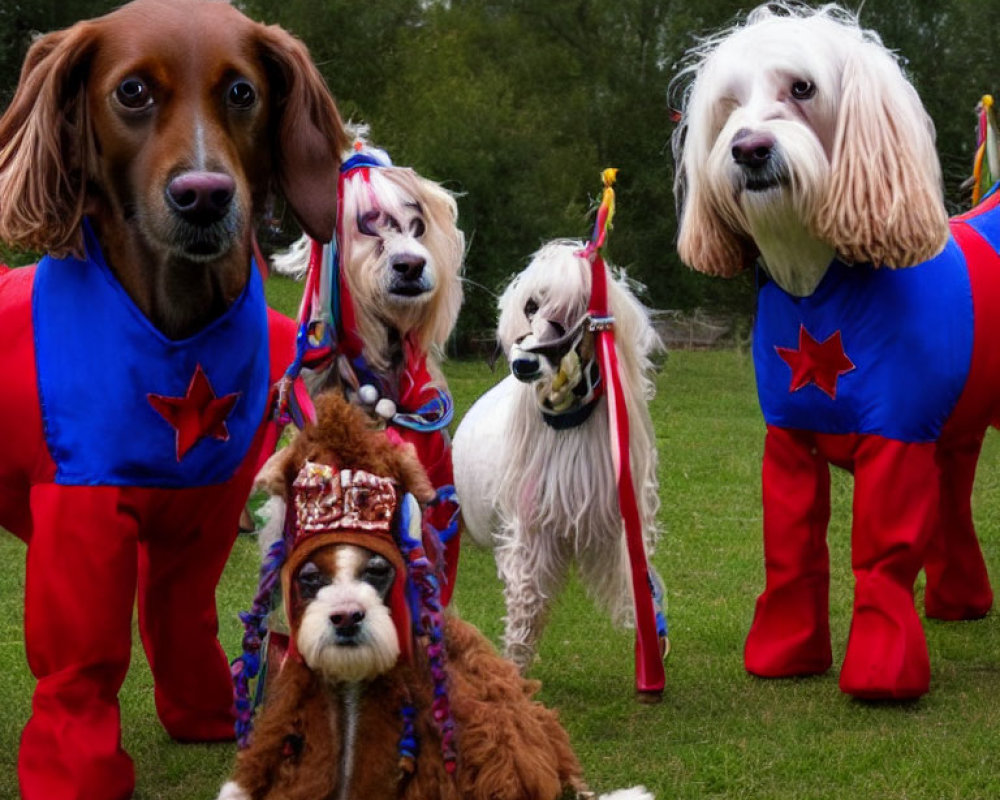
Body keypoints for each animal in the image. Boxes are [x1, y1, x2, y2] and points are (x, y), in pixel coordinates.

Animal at [0, 3, 348, 796]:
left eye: (242, 92)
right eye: (132, 92)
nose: (203, 195)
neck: (180, 329)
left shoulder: (206, 512)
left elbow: (180, 614)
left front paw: (212, 715)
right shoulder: (81, 514)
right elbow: (84, 655)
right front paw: (75, 770)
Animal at [454, 242, 664, 676]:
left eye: (575, 312)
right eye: (531, 305)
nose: (523, 364)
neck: (568, 424)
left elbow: (640, 585)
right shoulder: (530, 528)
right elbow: (527, 601)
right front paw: (514, 667)